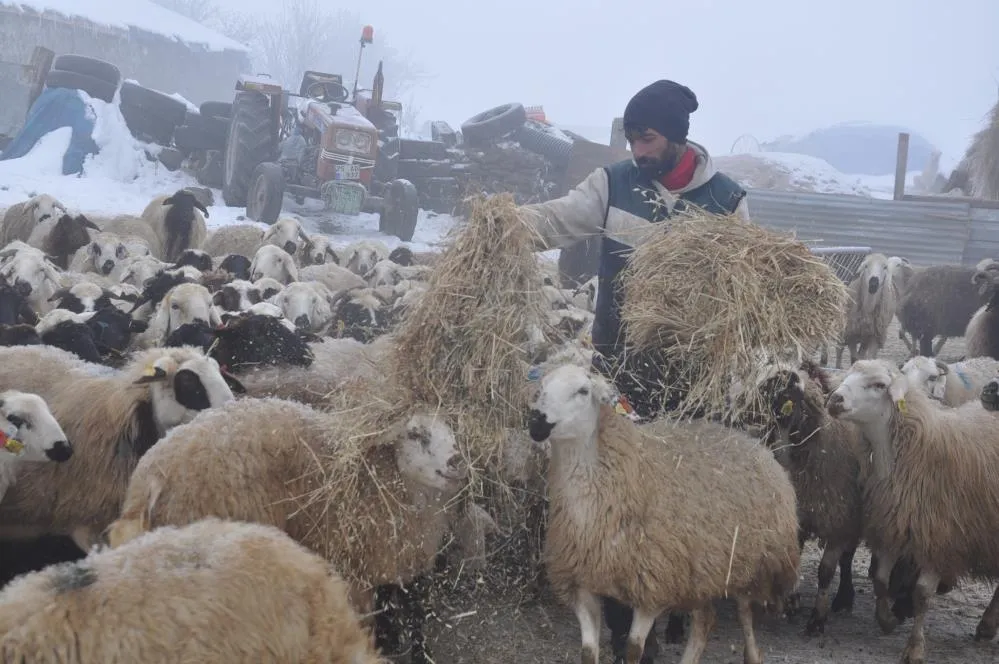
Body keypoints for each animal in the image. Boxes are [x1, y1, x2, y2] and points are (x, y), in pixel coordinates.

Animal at [528, 364, 800, 664]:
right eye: (542, 388)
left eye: (583, 391)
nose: (536, 422)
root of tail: (753, 443)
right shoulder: (581, 586)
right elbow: (588, 652)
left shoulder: (653, 588)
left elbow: (634, 649)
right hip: (702, 574)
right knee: (705, 620)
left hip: (754, 563)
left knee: (745, 614)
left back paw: (752, 654)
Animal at [824, 360, 999, 660]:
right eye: (847, 375)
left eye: (879, 385)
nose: (835, 399)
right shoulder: (894, 524)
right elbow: (881, 580)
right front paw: (887, 620)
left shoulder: (938, 537)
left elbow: (922, 594)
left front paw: (915, 647)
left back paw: (987, 625)